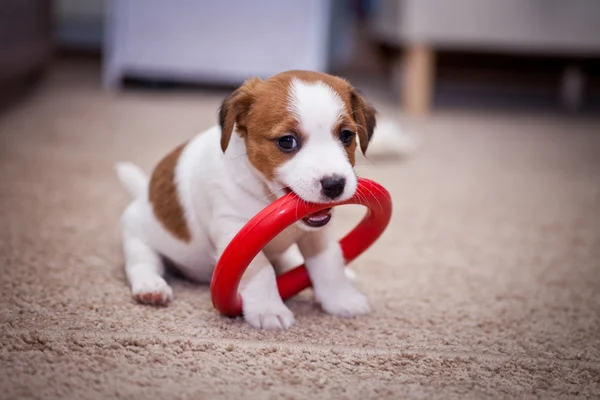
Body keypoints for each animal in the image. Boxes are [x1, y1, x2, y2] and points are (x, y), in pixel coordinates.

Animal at [117, 70, 380, 330]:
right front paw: (268, 309)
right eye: (287, 141)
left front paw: (340, 298)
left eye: (346, 135)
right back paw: (151, 287)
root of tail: (143, 193)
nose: (335, 184)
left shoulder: (318, 235)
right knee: (142, 262)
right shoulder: (234, 230)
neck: (265, 195)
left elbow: (328, 262)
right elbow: (261, 269)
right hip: (137, 237)